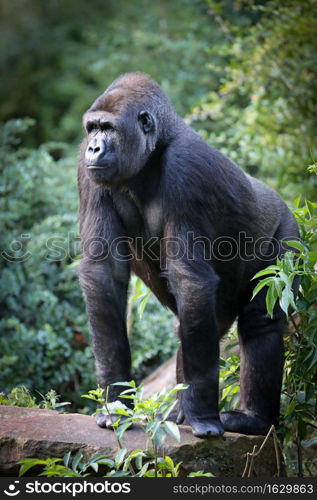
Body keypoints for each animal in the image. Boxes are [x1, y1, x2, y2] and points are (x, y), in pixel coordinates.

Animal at [78, 72, 298, 436]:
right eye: (92, 128)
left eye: (108, 128)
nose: (94, 148)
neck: (155, 148)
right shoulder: (87, 171)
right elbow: (104, 274)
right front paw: (116, 403)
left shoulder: (187, 169)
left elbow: (189, 278)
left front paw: (203, 416)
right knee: (195, 324)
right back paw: (182, 411)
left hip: (288, 234)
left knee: (259, 323)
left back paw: (252, 418)